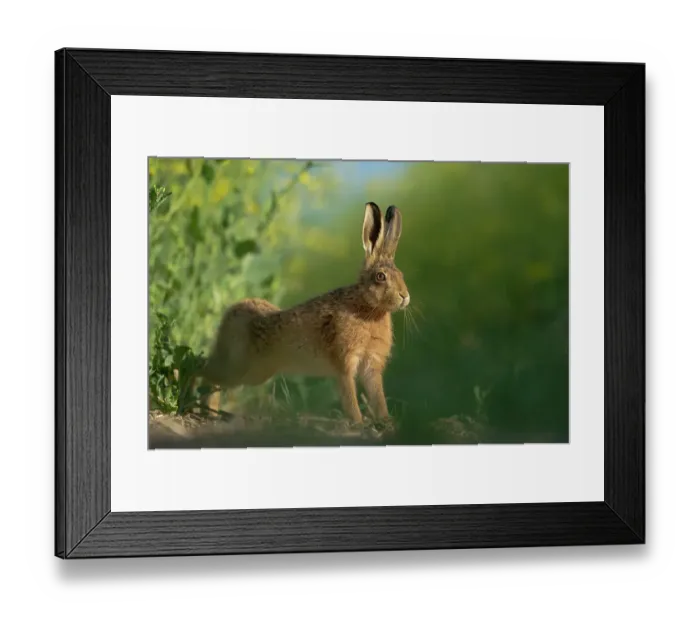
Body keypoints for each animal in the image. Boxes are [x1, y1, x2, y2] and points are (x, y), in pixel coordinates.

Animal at [201, 202, 410, 424]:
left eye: (401, 275)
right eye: (380, 277)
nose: (405, 296)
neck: (367, 308)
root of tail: (229, 313)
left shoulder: (371, 366)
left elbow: (378, 397)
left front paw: (386, 422)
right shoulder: (344, 362)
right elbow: (350, 397)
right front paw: (358, 423)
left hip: (256, 372)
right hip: (239, 366)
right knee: (203, 369)